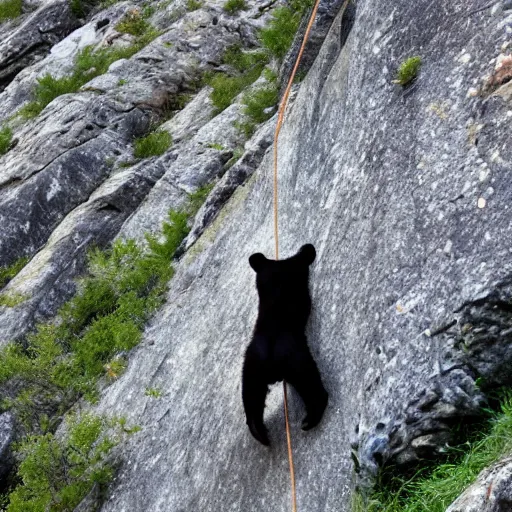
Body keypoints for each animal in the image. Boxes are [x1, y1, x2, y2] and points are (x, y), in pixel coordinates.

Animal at [243, 244, 328, 444]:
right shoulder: (295, 267)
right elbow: (303, 258)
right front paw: (308, 250)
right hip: (295, 355)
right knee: (309, 380)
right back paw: (312, 416)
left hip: (251, 366)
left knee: (251, 397)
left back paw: (259, 432)